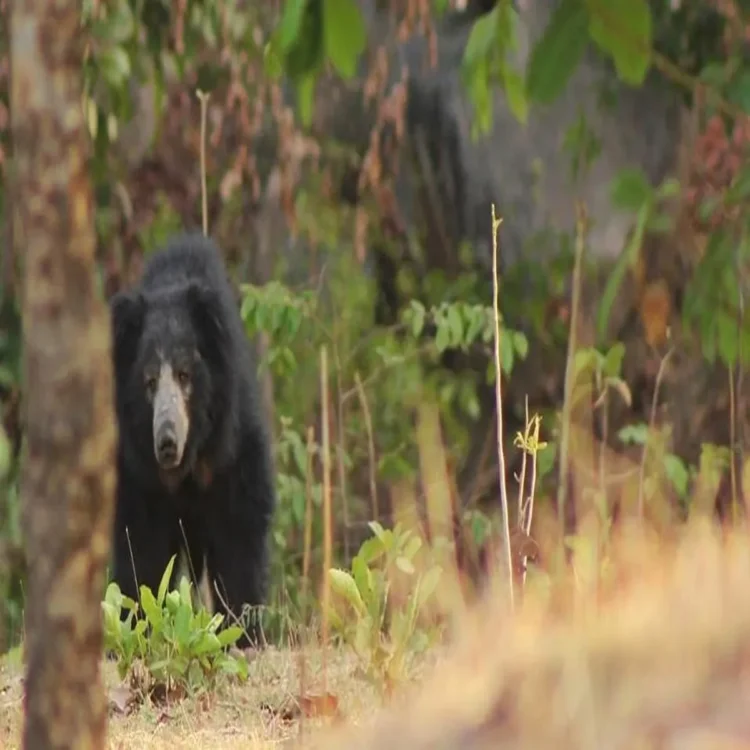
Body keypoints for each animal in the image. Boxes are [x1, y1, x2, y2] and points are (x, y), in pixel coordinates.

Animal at [108, 231, 276, 649]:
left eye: (185, 375)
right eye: (149, 382)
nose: (166, 442)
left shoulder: (233, 452)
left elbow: (239, 533)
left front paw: (242, 633)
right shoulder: (139, 472)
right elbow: (141, 545)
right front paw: (136, 627)